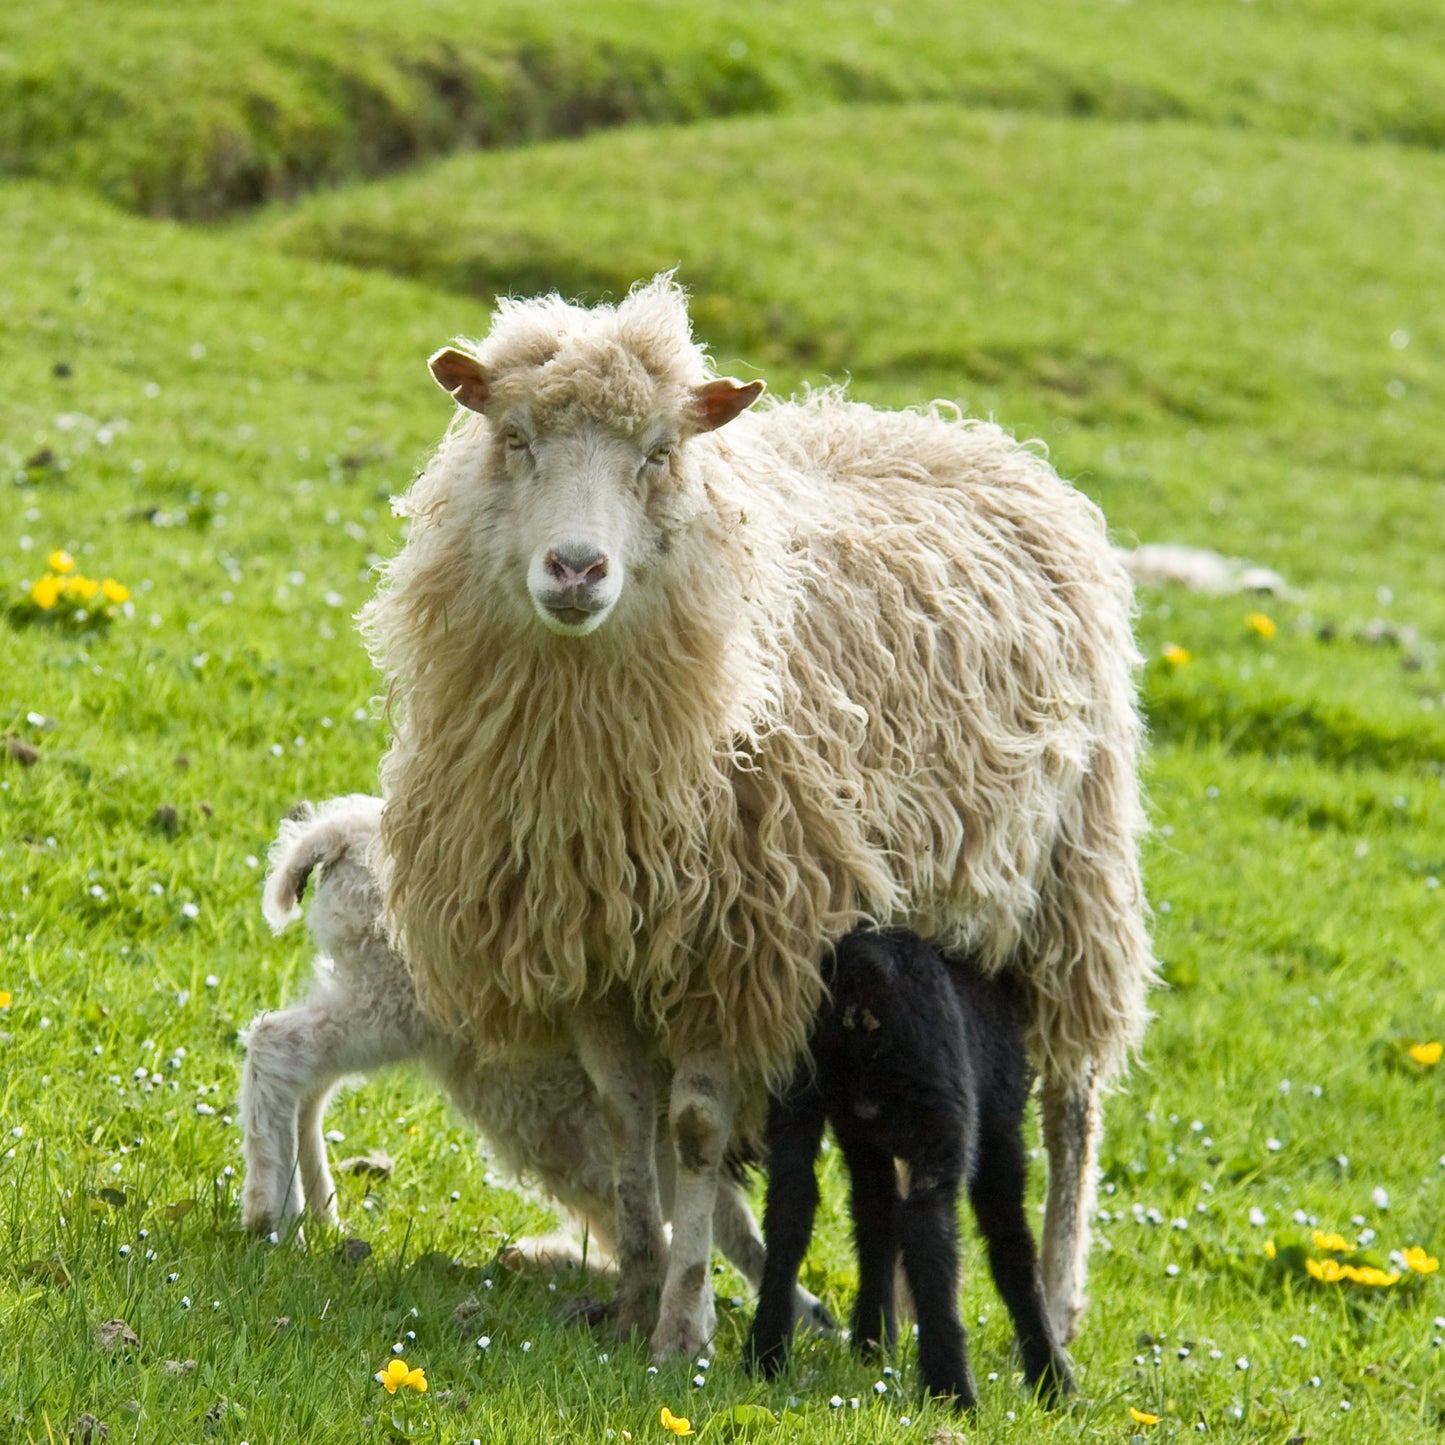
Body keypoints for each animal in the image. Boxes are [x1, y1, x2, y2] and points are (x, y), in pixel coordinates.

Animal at [234, 791, 826, 1329]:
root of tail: (339, 834)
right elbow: (712, 1215)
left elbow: (711, 1214)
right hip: (398, 996)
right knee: (278, 1044)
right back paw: (272, 1215)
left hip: (372, 987)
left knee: (311, 1076)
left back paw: (320, 1212)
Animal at [745, 924, 1075, 1410]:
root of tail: (865, 975)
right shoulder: (1000, 1126)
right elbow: (1011, 1244)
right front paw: (1052, 1380)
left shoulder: (863, 1138)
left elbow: (873, 1220)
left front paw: (871, 1341)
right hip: (942, 1108)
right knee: (928, 1223)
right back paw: (954, 1387)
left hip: (800, 1090)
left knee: (792, 1204)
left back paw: (765, 1353)